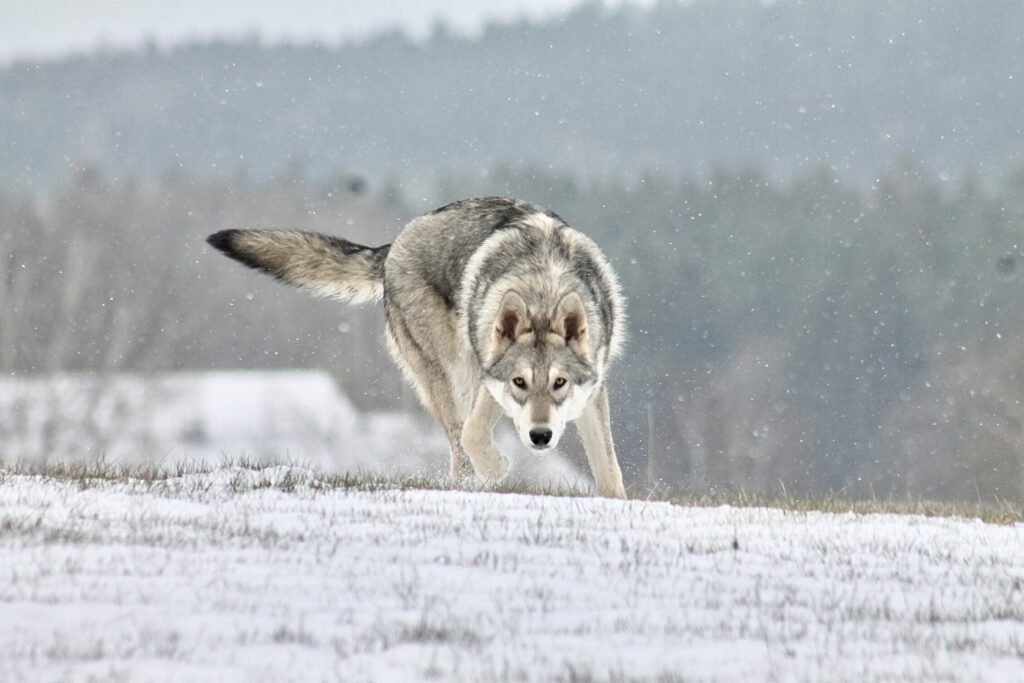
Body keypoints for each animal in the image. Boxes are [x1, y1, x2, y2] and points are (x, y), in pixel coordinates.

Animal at [207, 197, 627, 498]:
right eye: (519, 383)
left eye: (560, 383)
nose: (541, 436)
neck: (543, 287)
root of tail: (395, 244)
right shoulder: (488, 380)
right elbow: (473, 435)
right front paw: (496, 469)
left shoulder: (592, 393)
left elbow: (609, 468)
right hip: (453, 376)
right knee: (459, 441)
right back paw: (472, 485)